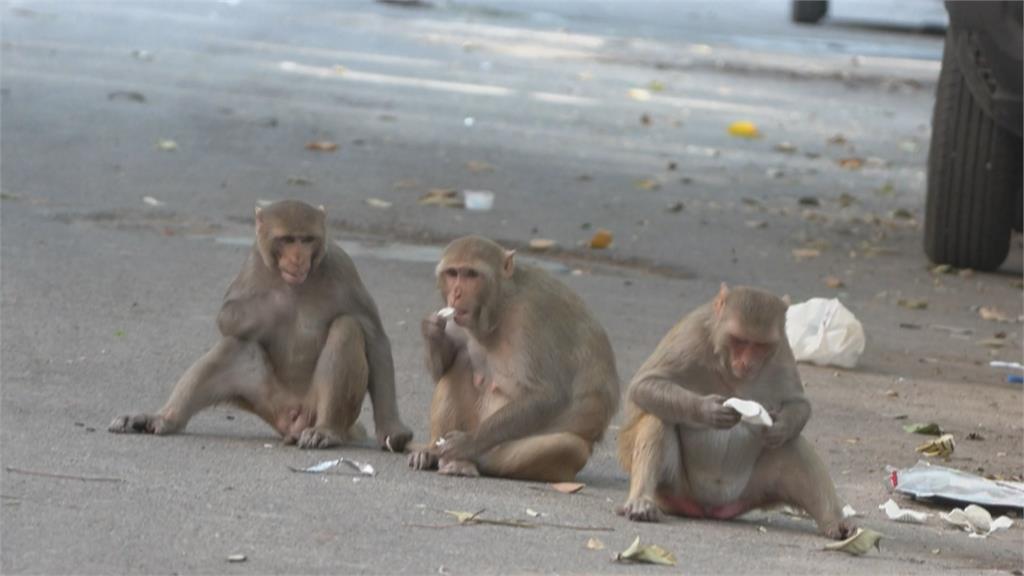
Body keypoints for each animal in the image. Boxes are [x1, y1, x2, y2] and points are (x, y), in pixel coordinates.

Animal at [110, 199, 413, 450]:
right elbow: (227, 319)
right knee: (234, 346)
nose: (297, 258)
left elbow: (375, 338)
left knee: (346, 328)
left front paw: (392, 429)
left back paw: (326, 430)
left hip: (316, 408)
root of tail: (293, 419)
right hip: (267, 401)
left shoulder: (344, 268)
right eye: (287, 239)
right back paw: (163, 418)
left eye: (307, 239)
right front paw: (279, 305)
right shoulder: (253, 265)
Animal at [405, 233, 614, 479]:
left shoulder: (530, 316)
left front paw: (466, 443)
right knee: (460, 364)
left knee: (568, 446)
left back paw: (461, 461)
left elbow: (547, 394)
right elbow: (444, 368)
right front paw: (431, 331)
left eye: (471, 274)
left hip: (502, 452)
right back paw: (431, 453)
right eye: (453, 273)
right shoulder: (456, 317)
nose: (456, 293)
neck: (500, 306)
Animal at [614, 282, 856, 537]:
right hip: (676, 489)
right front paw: (708, 410)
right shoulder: (691, 335)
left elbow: (798, 404)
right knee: (659, 418)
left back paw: (835, 522)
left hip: (751, 491)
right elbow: (644, 386)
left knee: (792, 443)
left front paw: (779, 428)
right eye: (740, 340)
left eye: (760, 346)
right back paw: (642, 502)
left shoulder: (782, 349)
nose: (747, 363)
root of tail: (708, 509)